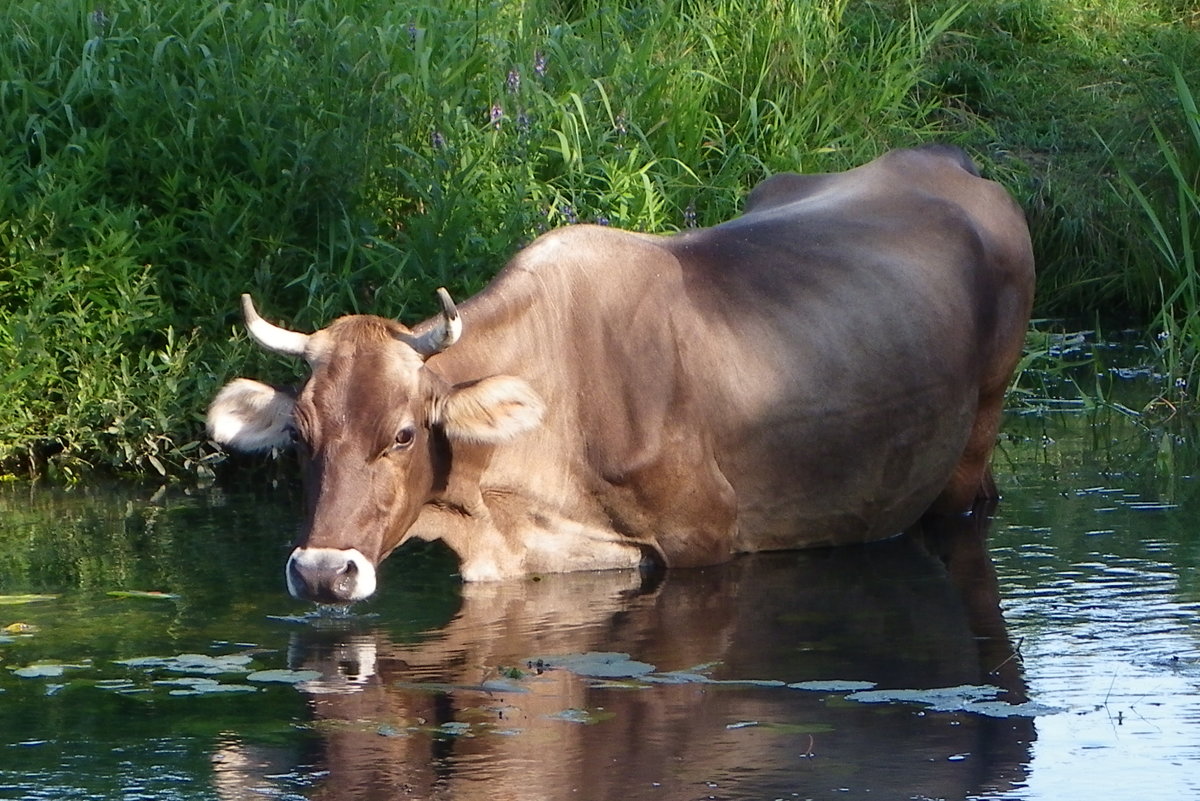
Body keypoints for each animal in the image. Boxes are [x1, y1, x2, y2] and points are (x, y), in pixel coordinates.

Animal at [206, 146, 1032, 604]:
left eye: (404, 433)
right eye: (300, 436)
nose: (323, 572)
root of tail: (938, 158)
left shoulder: (706, 539)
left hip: (975, 439)